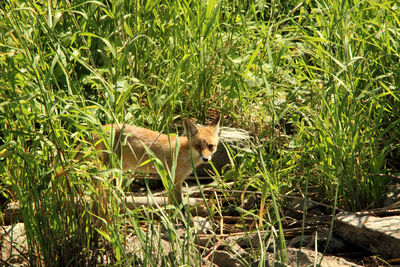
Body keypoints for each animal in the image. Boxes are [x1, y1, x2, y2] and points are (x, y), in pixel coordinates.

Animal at [92, 114, 220, 205]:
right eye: (198, 146)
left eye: (211, 146)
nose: (205, 159)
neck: (183, 153)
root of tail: (106, 126)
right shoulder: (173, 179)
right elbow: (176, 203)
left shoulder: (177, 180)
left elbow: (175, 202)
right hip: (112, 167)